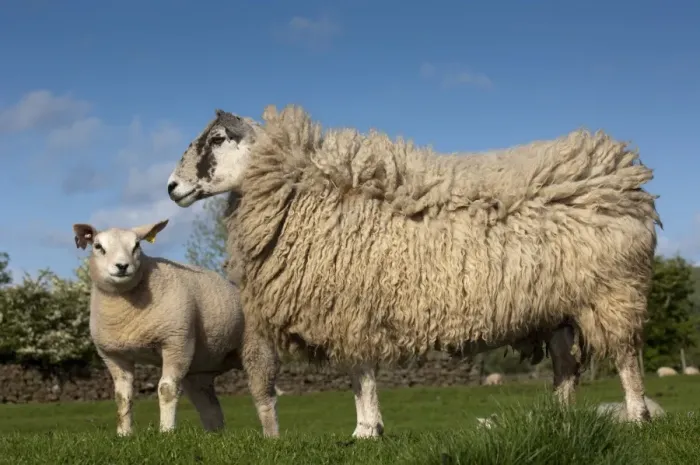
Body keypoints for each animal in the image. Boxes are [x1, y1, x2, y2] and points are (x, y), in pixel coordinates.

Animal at [72, 219, 278, 437]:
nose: (122, 266)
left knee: (264, 398)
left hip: (258, 350)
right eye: (98, 246)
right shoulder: (114, 356)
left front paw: (166, 432)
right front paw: (124, 434)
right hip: (200, 368)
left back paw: (271, 437)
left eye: (137, 246)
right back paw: (215, 436)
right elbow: (122, 396)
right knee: (210, 407)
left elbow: (166, 390)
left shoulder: (177, 342)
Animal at [166, 105, 661, 437]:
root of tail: (625, 171)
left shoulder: (351, 307)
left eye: (217, 138)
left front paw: (366, 431)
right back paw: (561, 420)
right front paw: (369, 428)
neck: (303, 188)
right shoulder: (351, 309)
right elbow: (359, 374)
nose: (171, 187)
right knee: (566, 368)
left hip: (614, 291)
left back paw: (637, 419)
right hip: (559, 308)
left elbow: (360, 372)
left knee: (627, 357)